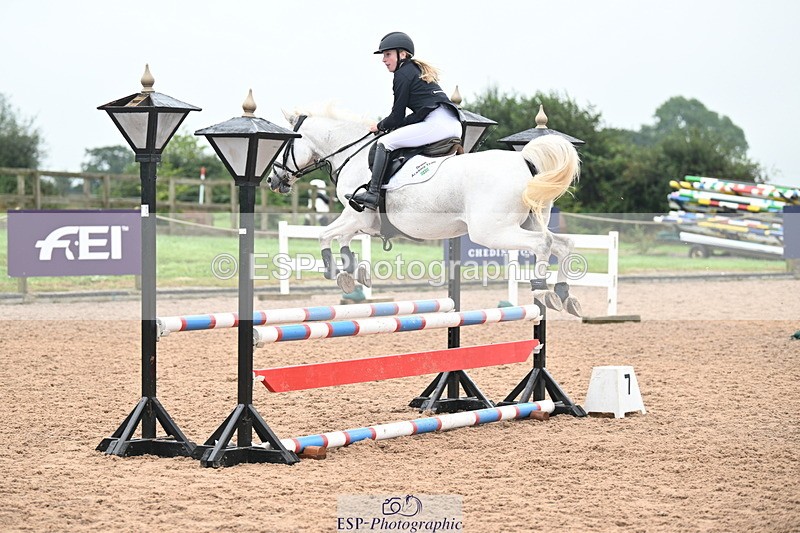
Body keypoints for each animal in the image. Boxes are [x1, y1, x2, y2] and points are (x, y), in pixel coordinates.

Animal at [268, 108, 583, 315]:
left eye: (286, 144)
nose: (273, 180)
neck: (352, 154)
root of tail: (525, 161)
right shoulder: (361, 219)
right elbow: (342, 238)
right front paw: (352, 270)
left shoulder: (358, 213)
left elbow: (325, 234)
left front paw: (336, 271)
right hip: (530, 222)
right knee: (562, 243)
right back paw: (564, 294)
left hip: (493, 231)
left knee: (543, 243)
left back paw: (542, 289)